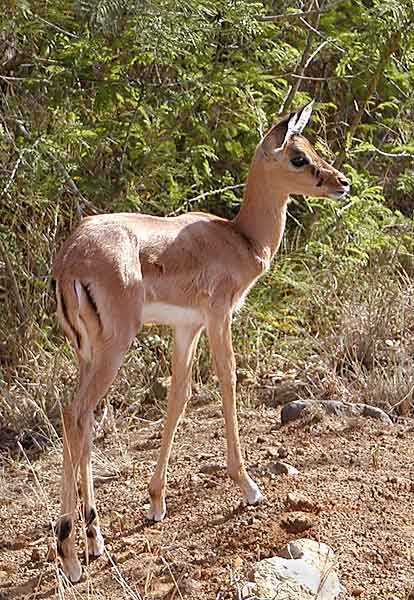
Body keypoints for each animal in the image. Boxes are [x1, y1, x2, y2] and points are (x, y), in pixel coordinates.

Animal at [51, 102, 350, 580]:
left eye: (311, 146)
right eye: (298, 156)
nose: (342, 182)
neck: (240, 237)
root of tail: (69, 258)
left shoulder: (186, 328)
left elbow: (179, 396)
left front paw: (156, 502)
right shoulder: (218, 315)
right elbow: (228, 382)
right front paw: (248, 486)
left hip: (88, 351)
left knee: (85, 422)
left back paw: (95, 541)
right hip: (114, 347)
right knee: (74, 414)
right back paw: (71, 555)